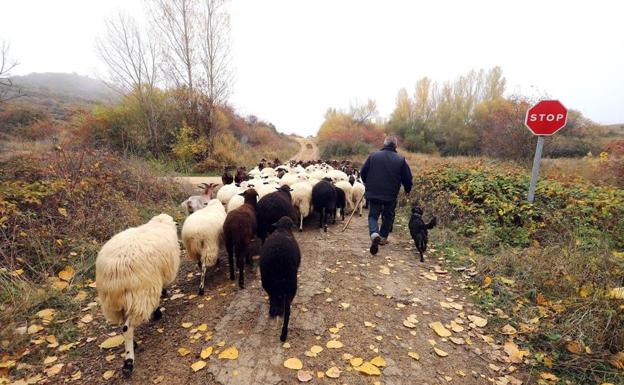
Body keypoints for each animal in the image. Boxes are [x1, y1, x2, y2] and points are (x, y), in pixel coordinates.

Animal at [95, 212, 179, 374]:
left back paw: (132, 345)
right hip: (140, 295)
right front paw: (158, 310)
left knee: (122, 326)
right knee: (127, 329)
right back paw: (128, 361)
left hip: (114, 304)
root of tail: (115, 269)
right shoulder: (155, 282)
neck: (160, 223)